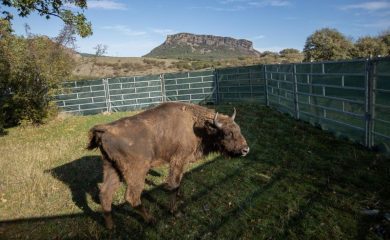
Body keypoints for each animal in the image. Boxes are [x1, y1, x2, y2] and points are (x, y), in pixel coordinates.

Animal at [87, 101, 248, 229]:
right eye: (226, 133)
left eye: (239, 129)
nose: (245, 150)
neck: (196, 125)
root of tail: (105, 130)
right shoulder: (177, 160)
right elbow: (174, 185)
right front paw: (175, 212)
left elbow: (179, 182)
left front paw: (180, 197)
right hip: (136, 171)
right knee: (132, 197)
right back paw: (151, 220)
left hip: (111, 168)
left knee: (105, 193)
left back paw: (110, 226)